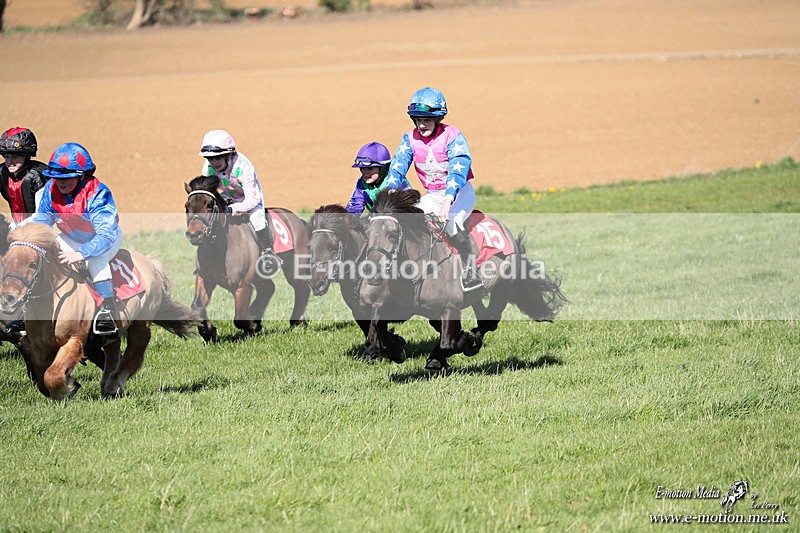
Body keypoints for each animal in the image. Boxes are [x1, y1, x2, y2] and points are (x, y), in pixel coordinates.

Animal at [0, 223, 199, 400]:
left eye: (32, 264)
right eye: (4, 262)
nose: (7, 299)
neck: (54, 303)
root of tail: (150, 263)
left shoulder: (74, 340)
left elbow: (53, 375)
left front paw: (67, 389)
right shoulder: (37, 346)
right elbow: (43, 378)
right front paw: (68, 385)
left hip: (141, 324)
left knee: (135, 355)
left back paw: (113, 385)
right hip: (116, 329)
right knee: (113, 353)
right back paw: (107, 383)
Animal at [184, 175, 311, 342]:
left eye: (209, 205)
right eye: (187, 206)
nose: (194, 234)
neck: (219, 249)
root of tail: (298, 220)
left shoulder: (242, 284)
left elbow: (239, 318)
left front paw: (254, 326)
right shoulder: (204, 278)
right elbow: (197, 306)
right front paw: (209, 332)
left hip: (294, 267)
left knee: (301, 287)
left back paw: (297, 321)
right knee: (268, 288)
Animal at [307, 204, 408, 363]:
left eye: (332, 247)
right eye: (309, 246)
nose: (316, 284)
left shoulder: (379, 305)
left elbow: (375, 331)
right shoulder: (357, 310)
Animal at [359, 188, 567, 371]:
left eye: (393, 234)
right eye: (366, 235)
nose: (372, 271)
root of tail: (504, 229)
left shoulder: (450, 307)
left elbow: (447, 344)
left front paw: (459, 345)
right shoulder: (399, 306)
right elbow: (377, 325)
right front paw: (396, 349)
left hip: (503, 287)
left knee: (490, 321)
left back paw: (471, 342)